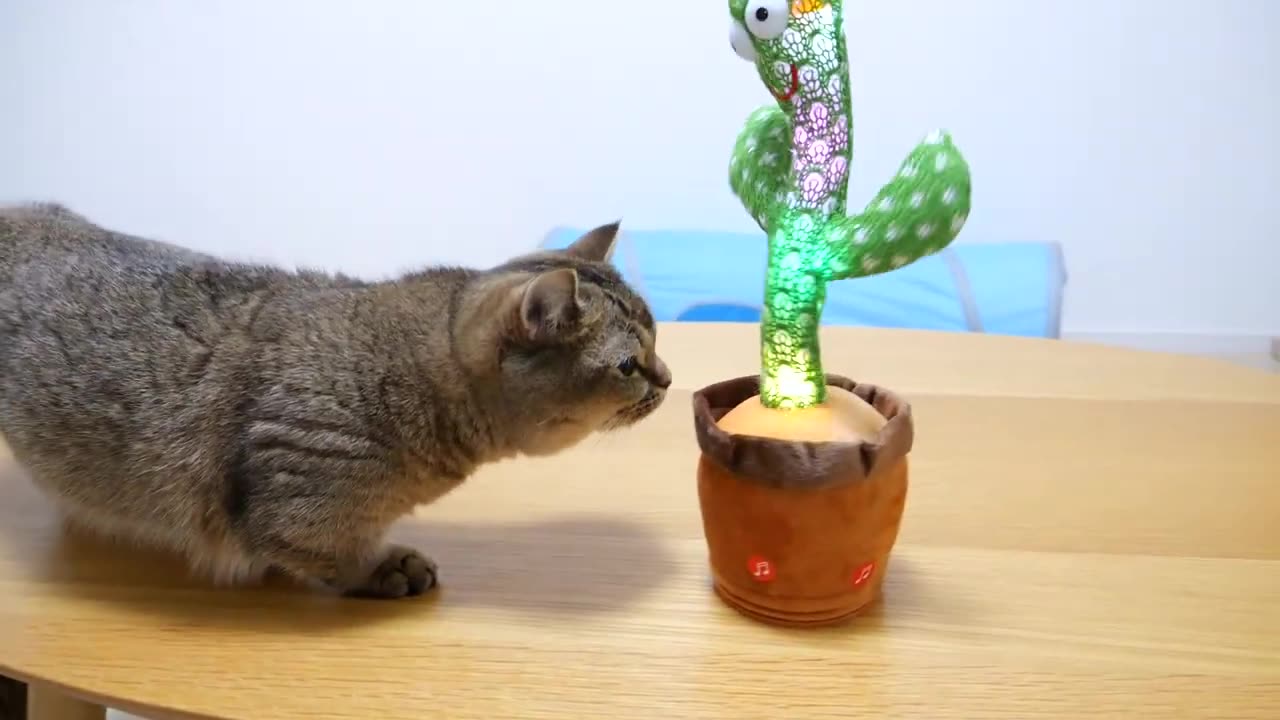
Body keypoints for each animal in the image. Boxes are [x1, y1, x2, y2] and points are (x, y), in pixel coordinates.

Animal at [0, 202, 675, 594]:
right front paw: (384, 566)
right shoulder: (296, 505)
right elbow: (332, 555)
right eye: (627, 364)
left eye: (657, 339)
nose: (667, 378)